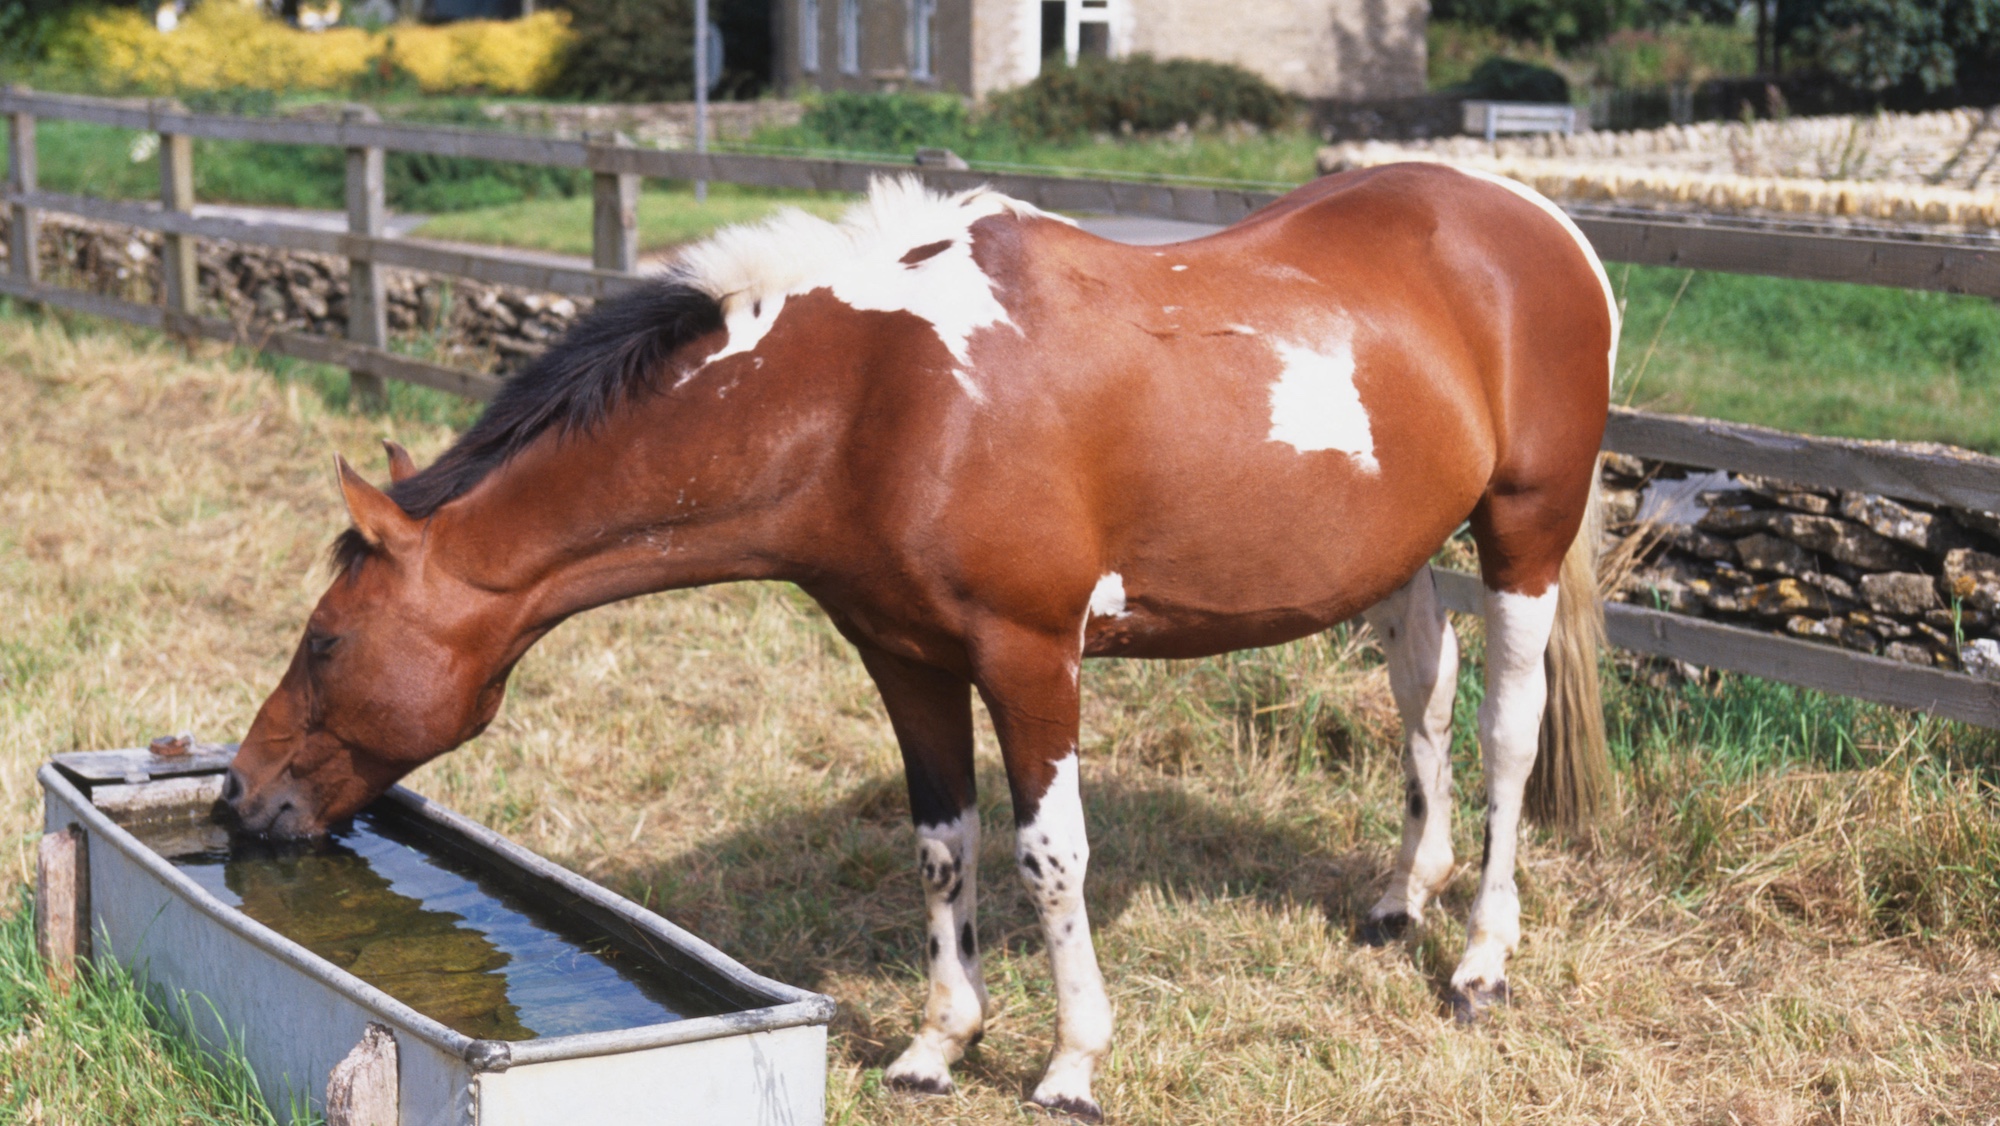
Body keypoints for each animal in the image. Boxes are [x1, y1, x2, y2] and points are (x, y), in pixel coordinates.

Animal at [223, 168, 1617, 1121]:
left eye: (327, 640)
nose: (244, 797)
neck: (873, 397)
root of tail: (1537, 224)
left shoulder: (1030, 656)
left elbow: (1049, 857)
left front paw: (1070, 1062)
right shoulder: (903, 658)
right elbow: (944, 848)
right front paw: (938, 1044)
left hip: (1521, 530)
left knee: (1503, 732)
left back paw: (1478, 958)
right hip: (1396, 554)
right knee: (1422, 686)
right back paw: (1396, 897)